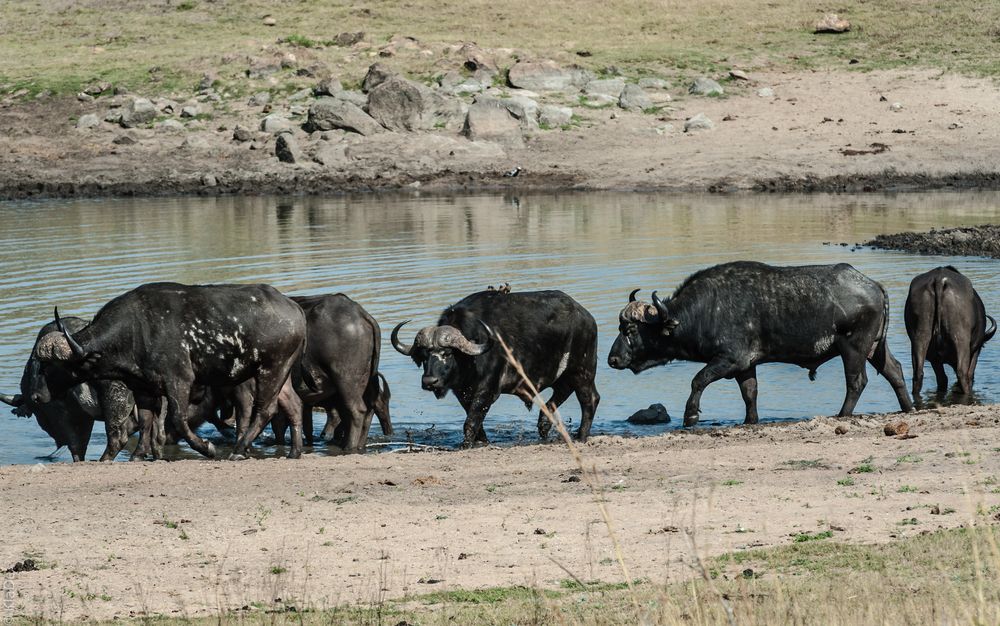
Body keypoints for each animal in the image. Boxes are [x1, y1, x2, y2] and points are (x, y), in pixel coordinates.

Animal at [33, 282, 306, 458]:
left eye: (50, 366)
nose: (35, 396)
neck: (134, 330)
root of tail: (295, 309)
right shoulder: (143, 389)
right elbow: (146, 424)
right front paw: (140, 455)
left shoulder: (179, 381)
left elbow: (178, 420)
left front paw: (207, 448)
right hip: (282, 374)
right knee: (293, 405)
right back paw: (294, 452)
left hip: (270, 369)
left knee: (266, 409)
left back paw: (239, 451)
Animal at [390, 288, 596, 444]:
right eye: (424, 356)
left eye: (447, 353)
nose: (429, 381)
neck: (470, 361)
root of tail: (586, 317)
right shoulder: (462, 393)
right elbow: (476, 422)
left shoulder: (487, 390)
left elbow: (471, 422)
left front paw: (466, 444)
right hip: (565, 376)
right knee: (558, 396)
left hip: (583, 373)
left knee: (590, 400)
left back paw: (581, 436)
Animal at [604, 258, 916, 424]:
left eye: (630, 330)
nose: (612, 359)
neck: (706, 310)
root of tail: (872, 284)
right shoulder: (745, 366)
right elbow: (750, 394)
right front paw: (750, 420)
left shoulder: (728, 360)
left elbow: (698, 380)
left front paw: (690, 415)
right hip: (874, 348)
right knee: (895, 371)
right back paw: (908, 407)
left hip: (853, 348)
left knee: (857, 382)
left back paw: (841, 414)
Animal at [904, 264, 996, 394]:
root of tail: (938, 280)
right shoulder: (975, 350)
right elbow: (969, 372)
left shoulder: (934, 358)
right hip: (961, 339)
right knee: (962, 373)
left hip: (919, 337)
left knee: (919, 373)